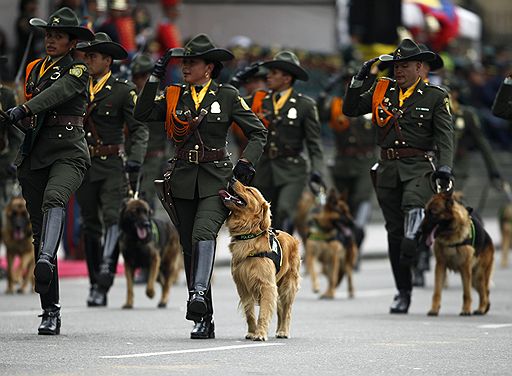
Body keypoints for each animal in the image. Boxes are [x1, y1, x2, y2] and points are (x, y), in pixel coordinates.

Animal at [219, 181, 300, 342]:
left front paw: (261, 334)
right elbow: (250, 313)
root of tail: (292, 237)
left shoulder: (267, 285)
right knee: (280, 307)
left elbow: (263, 313)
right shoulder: (243, 286)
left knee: (286, 310)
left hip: (288, 286)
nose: (232, 178)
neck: (249, 236)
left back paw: (283, 331)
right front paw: (252, 332)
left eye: (249, 190)